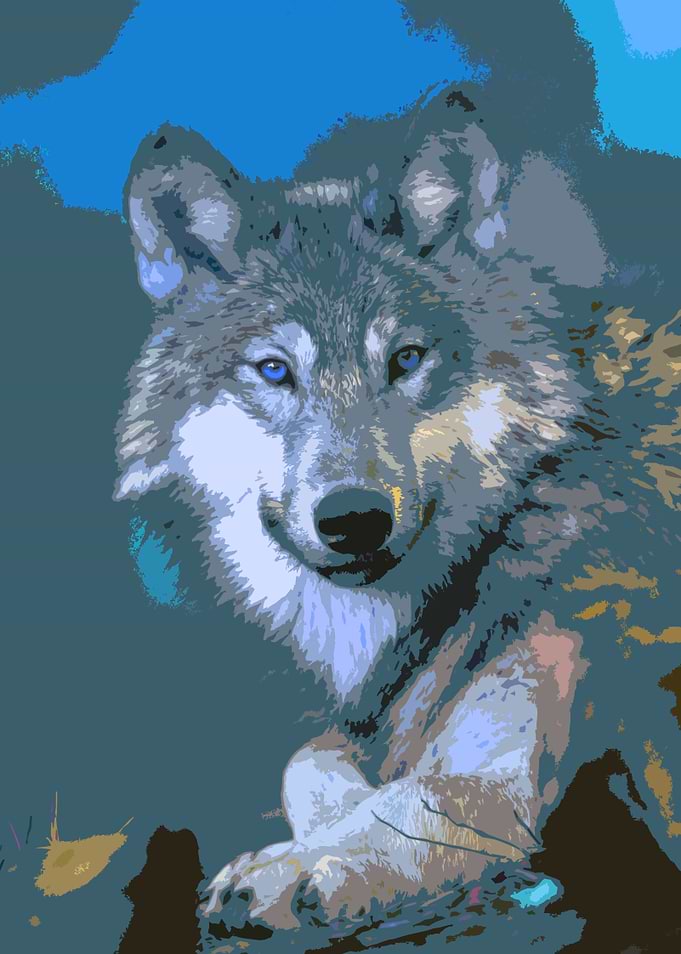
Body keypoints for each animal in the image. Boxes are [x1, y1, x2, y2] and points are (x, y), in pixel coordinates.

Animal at [114, 79, 681, 936]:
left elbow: (406, 798)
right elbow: (311, 760)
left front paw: (294, 869)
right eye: (274, 371)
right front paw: (316, 838)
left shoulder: (493, 790)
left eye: (405, 359)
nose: (353, 518)